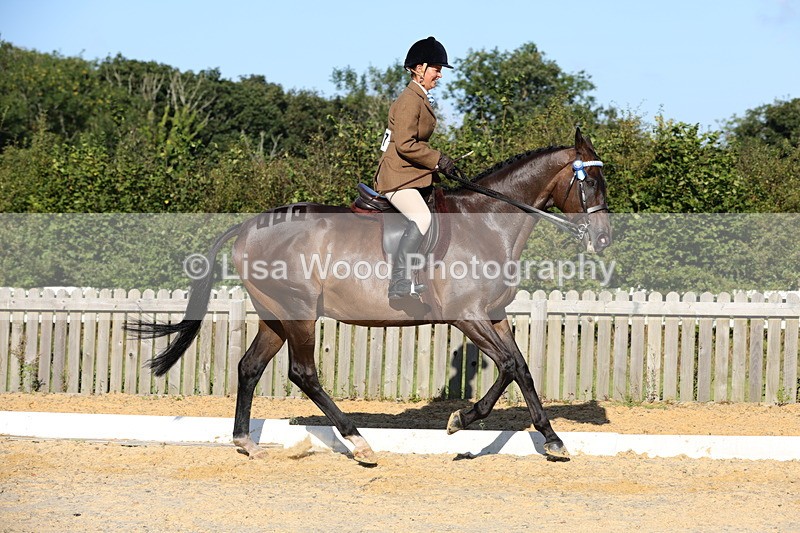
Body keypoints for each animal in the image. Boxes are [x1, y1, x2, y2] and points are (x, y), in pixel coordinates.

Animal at [129, 127, 612, 465]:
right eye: (591, 182)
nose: (604, 239)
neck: (487, 223)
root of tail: (249, 226)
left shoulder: (494, 315)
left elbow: (522, 369)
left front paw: (552, 440)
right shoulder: (467, 315)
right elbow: (509, 365)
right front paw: (460, 420)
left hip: (275, 315)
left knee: (249, 367)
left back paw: (247, 443)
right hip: (299, 313)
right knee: (303, 373)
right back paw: (359, 443)